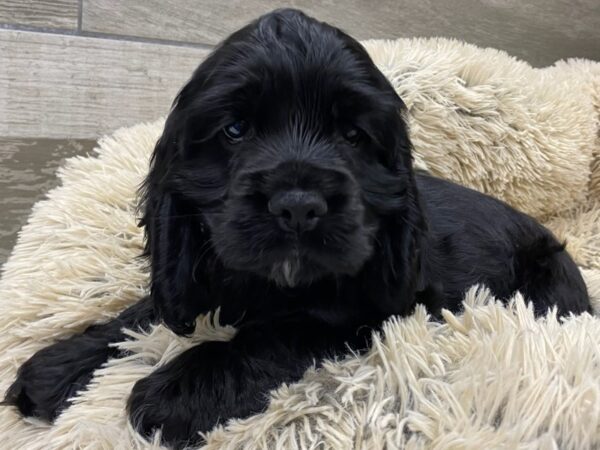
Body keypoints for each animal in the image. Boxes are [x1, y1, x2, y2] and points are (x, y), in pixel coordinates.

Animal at [3, 7, 592, 450]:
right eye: (235, 129)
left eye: (353, 135)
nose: (298, 206)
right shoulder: (196, 263)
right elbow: (144, 311)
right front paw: (57, 366)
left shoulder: (374, 308)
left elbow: (280, 333)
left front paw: (178, 390)